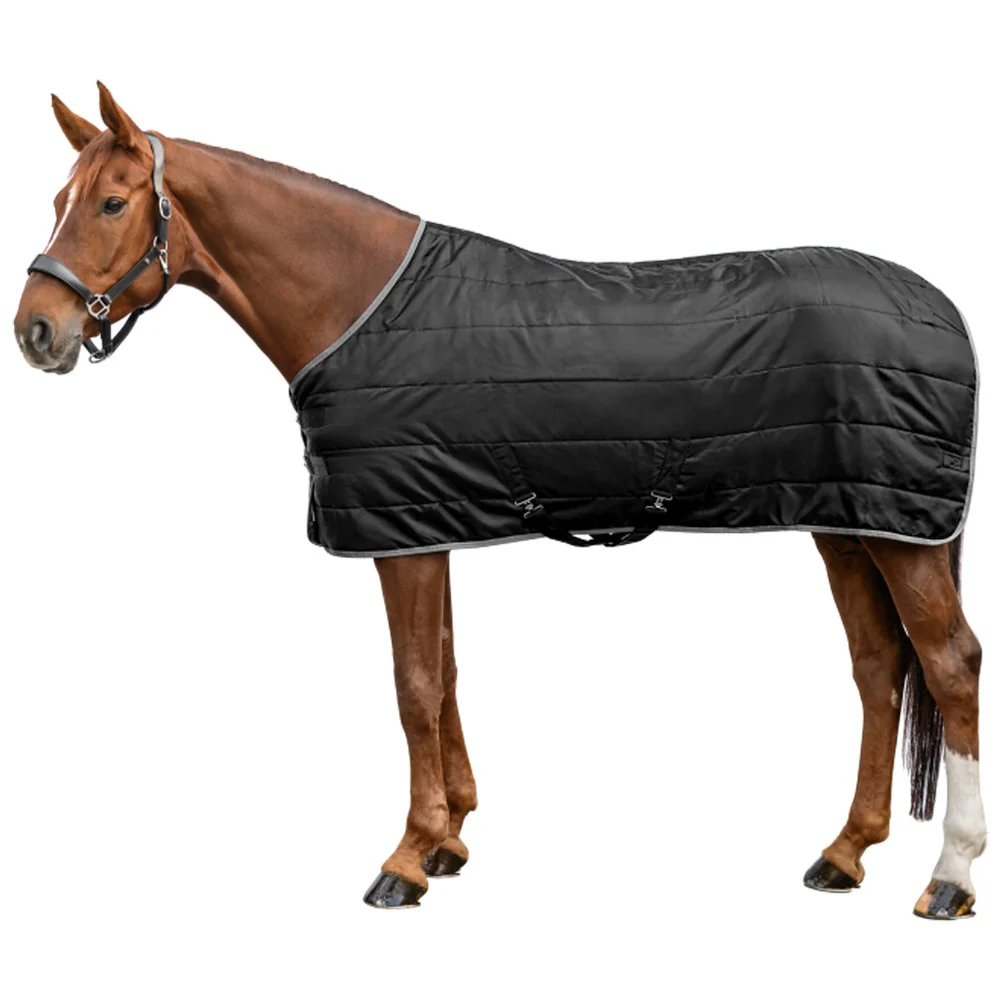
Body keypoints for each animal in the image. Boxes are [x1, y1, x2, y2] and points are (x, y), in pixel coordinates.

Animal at [13, 84, 986, 918]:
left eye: (111, 203)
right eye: (59, 196)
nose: (36, 332)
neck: (357, 304)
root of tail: (945, 311)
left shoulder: (402, 536)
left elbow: (411, 684)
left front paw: (406, 859)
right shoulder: (431, 522)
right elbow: (442, 672)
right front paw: (450, 837)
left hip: (902, 535)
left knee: (950, 664)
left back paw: (950, 876)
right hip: (847, 524)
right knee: (878, 667)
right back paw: (845, 853)